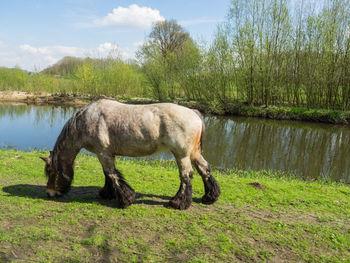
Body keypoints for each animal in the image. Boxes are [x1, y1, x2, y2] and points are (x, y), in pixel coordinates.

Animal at [39, 99, 220, 210]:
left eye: (52, 172)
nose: (49, 193)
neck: (86, 121)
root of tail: (193, 112)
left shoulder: (103, 153)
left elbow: (112, 175)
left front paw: (125, 200)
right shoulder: (106, 154)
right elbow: (108, 175)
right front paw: (107, 194)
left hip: (181, 155)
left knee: (186, 176)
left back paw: (178, 202)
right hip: (194, 154)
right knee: (204, 169)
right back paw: (210, 197)